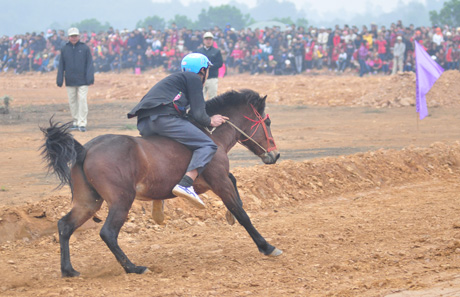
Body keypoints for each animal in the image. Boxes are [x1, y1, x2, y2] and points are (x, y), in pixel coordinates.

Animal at [41, 87, 282, 276]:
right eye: (268, 121)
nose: (276, 155)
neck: (210, 134)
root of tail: (85, 149)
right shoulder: (219, 181)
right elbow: (241, 213)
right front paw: (266, 246)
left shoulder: (215, 181)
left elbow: (236, 194)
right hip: (121, 201)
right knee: (108, 233)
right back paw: (133, 268)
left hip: (89, 202)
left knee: (65, 226)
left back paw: (68, 270)